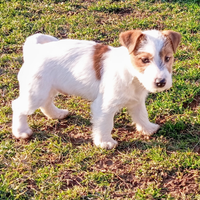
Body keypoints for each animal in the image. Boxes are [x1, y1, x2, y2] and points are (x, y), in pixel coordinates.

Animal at [12, 29, 181, 148]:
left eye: (167, 58)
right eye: (145, 60)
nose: (161, 82)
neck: (132, 75)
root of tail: (35, 50)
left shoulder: (137, 101)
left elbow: (141, 115)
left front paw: (148, 128)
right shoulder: (104, 105)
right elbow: (105, 124)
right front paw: (104, 142)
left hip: (48, 88)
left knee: (46, 103)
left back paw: (57, 114)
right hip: (35, 92)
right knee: (18, 107)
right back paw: (21, 132)